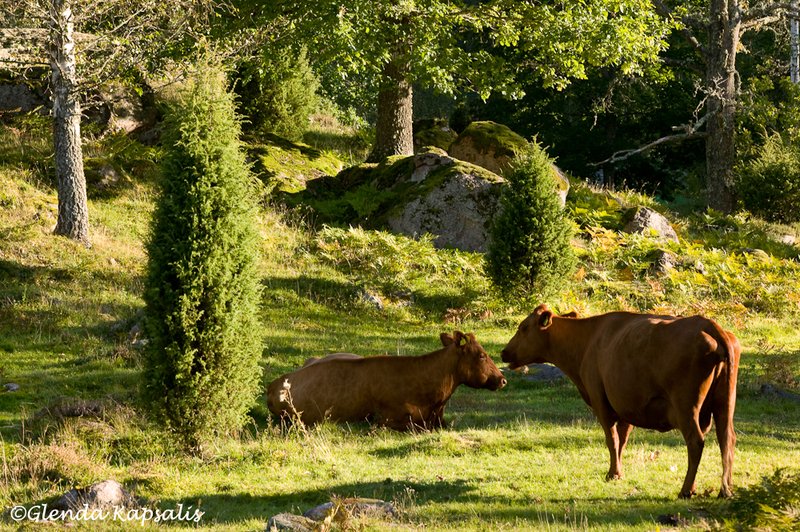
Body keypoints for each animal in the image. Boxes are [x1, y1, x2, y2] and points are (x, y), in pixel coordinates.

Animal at [501, 305, 740, 499]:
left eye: (523, 327)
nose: (504, 352)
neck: (587, 340)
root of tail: (709, 325)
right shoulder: (626, 405)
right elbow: (623, 439)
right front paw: (618, 471)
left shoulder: (600, 401)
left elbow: (612, 439)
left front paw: (612, 473)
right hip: (724, 404)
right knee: (727, 439)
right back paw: (725, 489)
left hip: (686, 407)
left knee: (695, 441)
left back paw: (686, 490)